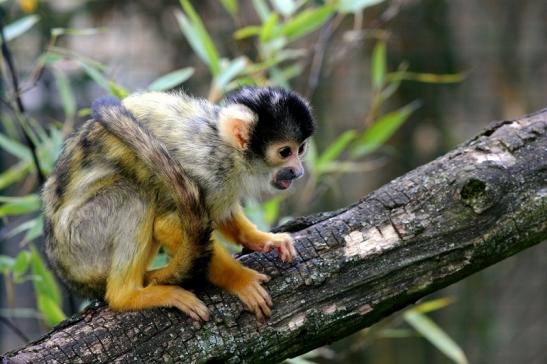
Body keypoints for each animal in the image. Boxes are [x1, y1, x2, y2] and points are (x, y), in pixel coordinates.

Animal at [42, 86, 314, 320]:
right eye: (284, 152)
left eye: (300, 149)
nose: (298, 171)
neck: (224, 148)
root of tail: (67, 272)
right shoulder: (206, 172)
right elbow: (167, 226)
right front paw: (241, 280)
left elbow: (222, 214)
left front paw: (262, 239)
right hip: (81, 240)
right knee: (132, 196)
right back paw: (127, 295)